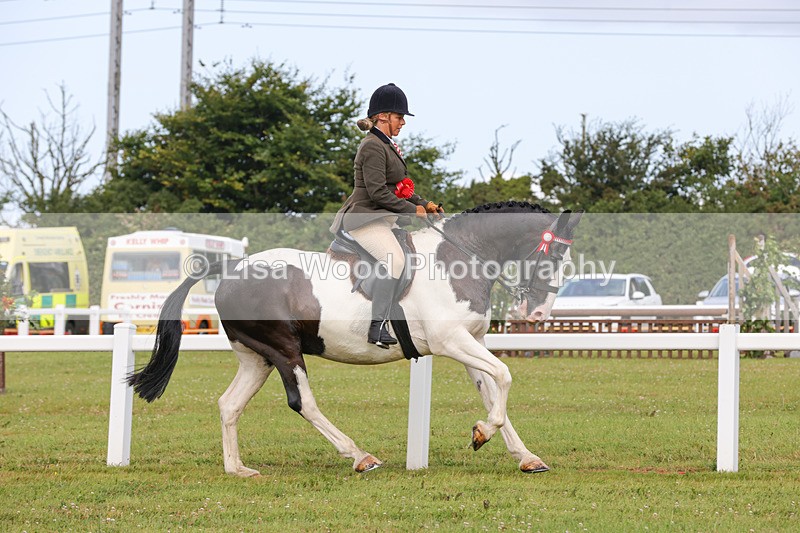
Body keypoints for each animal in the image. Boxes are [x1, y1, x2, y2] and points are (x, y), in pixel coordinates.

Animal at [128, 202, 582, 475]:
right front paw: (482, 434)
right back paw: (360, 456)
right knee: (302, 402)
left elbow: (492, 391)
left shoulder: (471, 342)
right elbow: (504, 377)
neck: (459, 257)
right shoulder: (451, 341)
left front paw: (525, 456)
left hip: (257, 357)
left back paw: (237, 468)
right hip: (284, 350)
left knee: (229, 404)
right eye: (553, 257)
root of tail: (231, 268)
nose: (536, 315)